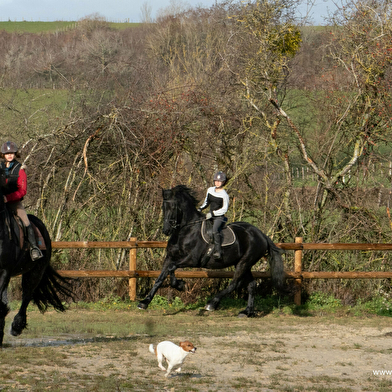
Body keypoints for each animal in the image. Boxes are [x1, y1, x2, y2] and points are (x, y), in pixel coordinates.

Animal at [138, 185, 284, 316]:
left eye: (173, 207)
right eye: (163, 207)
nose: (166, 230)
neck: (185, 231)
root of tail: (262, 235)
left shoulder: (192, 260)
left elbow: (171, 269)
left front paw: (180, 285)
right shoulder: (170, 257)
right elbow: (161, 277)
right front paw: (144, 302)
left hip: (244, 263)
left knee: (235, 283)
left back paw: (212, 303)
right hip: (242, 264)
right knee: (251, 285)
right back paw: (247, 312)